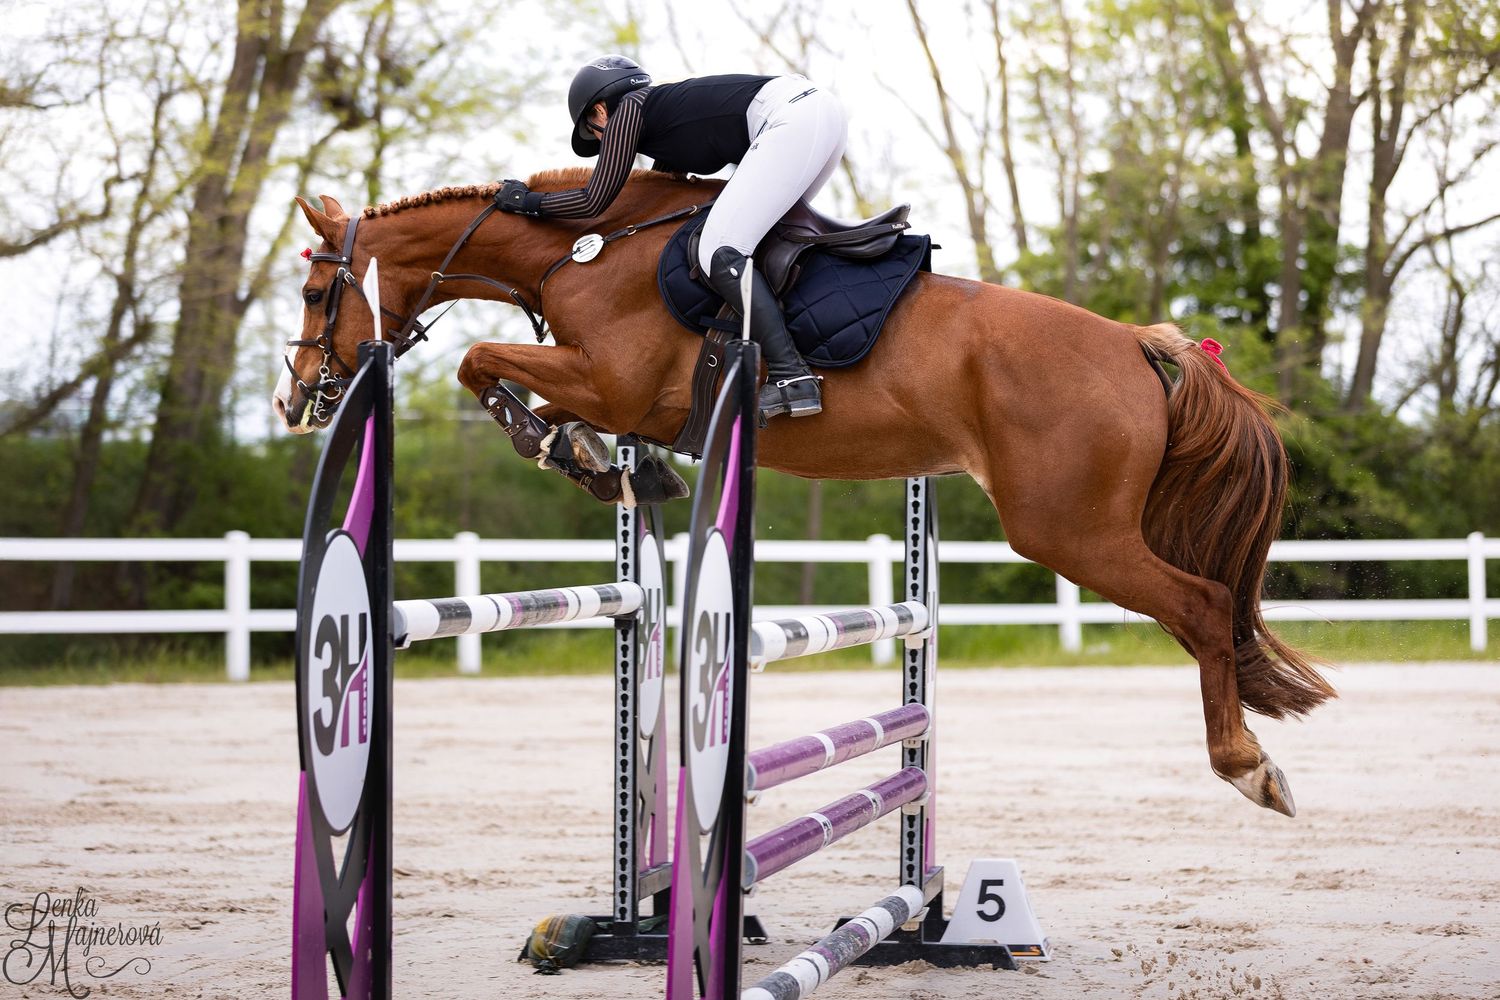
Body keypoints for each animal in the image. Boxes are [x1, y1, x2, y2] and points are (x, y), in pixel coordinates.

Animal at [274, 167, 1335, 817]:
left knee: (1204, 605)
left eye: (318, 293)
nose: (296, 398)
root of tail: (1138, 344)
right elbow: (509, 376)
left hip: (1069, 532)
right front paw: (601, 460)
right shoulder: (612, 387)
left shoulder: (616, 382)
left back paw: (1249, 769)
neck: (587, 249)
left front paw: (560, 445)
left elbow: (481, 361)